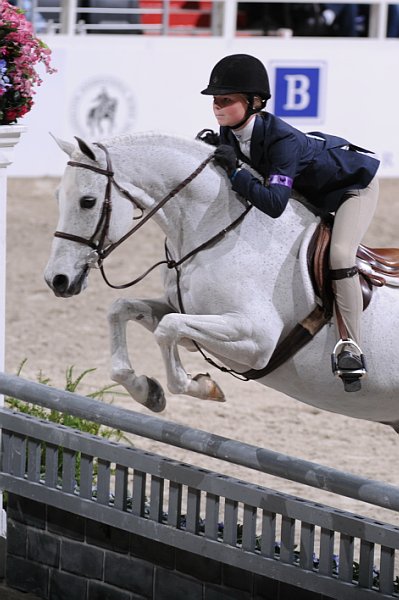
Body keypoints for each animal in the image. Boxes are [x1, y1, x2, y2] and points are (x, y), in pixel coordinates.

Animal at [45, 132, 399, 432]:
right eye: (58, 197)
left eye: (88, 201)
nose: (57, 280)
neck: (217, 229)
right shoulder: (190, 320)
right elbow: (122, 309)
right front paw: (148, 391)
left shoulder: (257, 340)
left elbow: (168, 329)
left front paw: (201, 386)